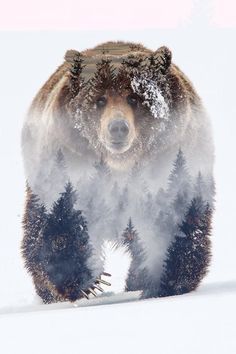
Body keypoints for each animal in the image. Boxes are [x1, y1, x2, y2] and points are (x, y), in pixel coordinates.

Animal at [21, 40, 215, 302]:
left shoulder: (174, 168)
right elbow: (58, 220)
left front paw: (168, 282)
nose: (118, 128)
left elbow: (181, 224)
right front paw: (86, 281)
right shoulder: (67, 167)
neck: (120, 166)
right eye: (100, 100)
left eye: (134, 98)